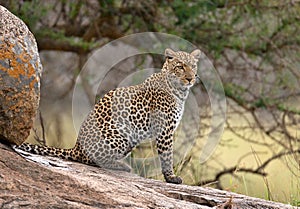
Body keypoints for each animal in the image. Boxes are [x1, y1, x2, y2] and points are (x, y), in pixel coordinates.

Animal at [14, 48, 202, 184]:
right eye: (180, 66)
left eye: (193, 66)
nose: (190, 78)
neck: (179, 91)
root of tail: (76, 147)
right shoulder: (165, 130)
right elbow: (167, 155)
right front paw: (171, 177)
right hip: (122, 132)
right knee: (93, 160)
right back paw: (122, 166)